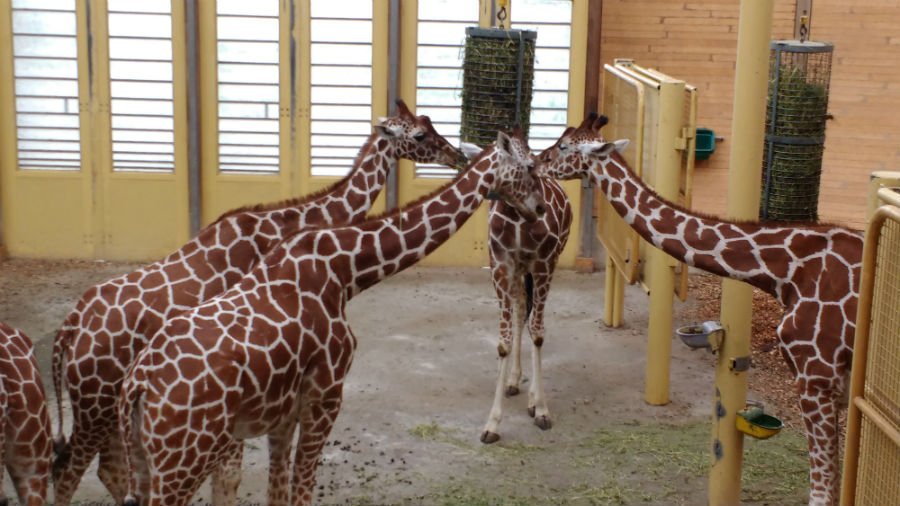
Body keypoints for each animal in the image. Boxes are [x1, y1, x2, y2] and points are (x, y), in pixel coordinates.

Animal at [49, 100, 464, 506]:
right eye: (421, 134)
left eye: (429, 120)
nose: (456, 154)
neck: (290, 225)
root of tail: (67, 330)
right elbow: (232, 476)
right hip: (95, 407)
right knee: (69, 472)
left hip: (111, 410)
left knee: (110, 470)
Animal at [116, 130, 544, 506]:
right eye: (528, 166)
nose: (540, 208)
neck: (346, 272)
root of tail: (137, 384)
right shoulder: (326, 396)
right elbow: (301, 493)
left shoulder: (283, 415)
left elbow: (278, 494)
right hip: (183, 461)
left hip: (144, 457)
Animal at [464, 131, 568, 446]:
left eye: (532, 166)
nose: (540, 208)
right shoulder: (501, 267)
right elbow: (504, 341)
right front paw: (492, 424)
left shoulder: (544, 264)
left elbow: (539, 334)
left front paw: (542, 409)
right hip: (520, 273)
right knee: (522, 310)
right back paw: (513, 381)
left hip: (543, 266)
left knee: (533, 322)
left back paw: (532, 399)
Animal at [540, 114, 864, 506]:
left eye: (563, 146)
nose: (537, 161)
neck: (786, 272)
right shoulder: (837, 387)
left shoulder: (817, 375)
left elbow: (821, 492)